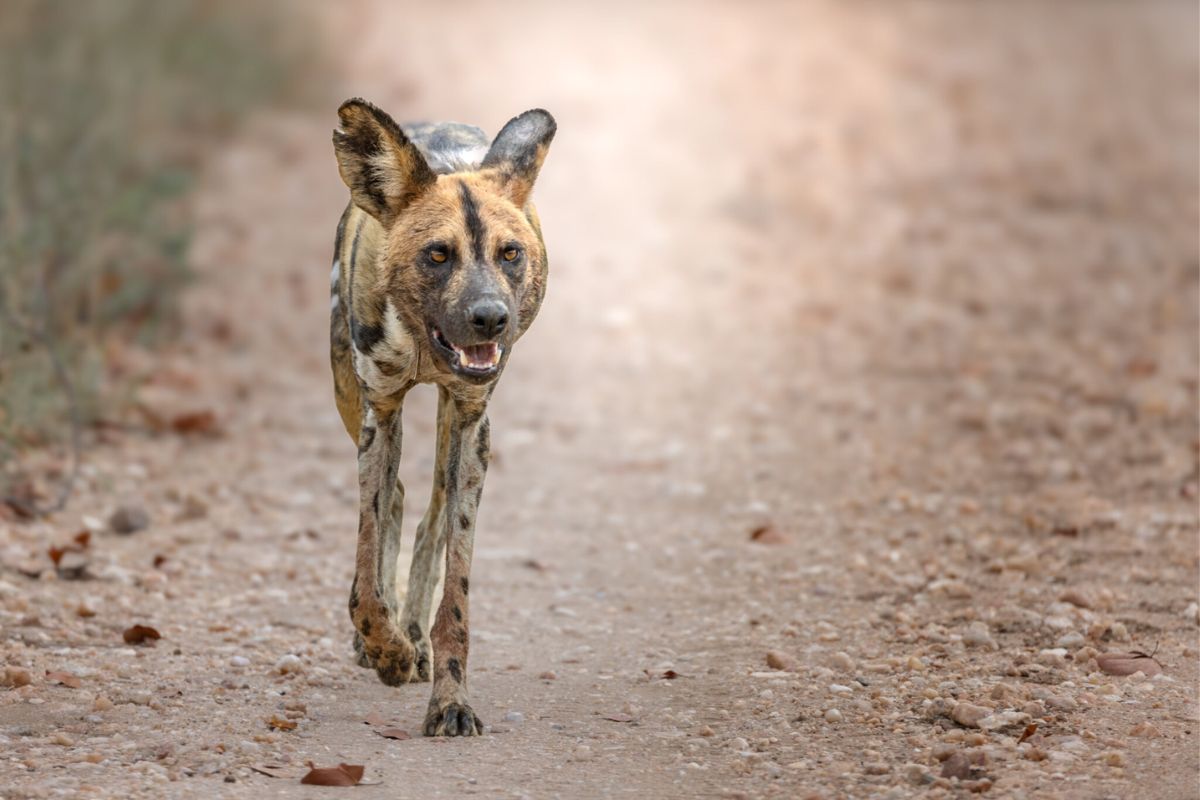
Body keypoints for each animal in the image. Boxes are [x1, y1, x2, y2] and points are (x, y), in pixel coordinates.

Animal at [326, 97, 554, 734]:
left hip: (456, 427)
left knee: (431, 514)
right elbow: (365, 583)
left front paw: (450, 698)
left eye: (510, 253)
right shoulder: (380, 409)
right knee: (397, 503)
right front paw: (386, 651)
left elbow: (457, 597)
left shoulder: (473, 419)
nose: (490, 317)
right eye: (437, 255)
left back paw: (415, 636)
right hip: (353, 403)